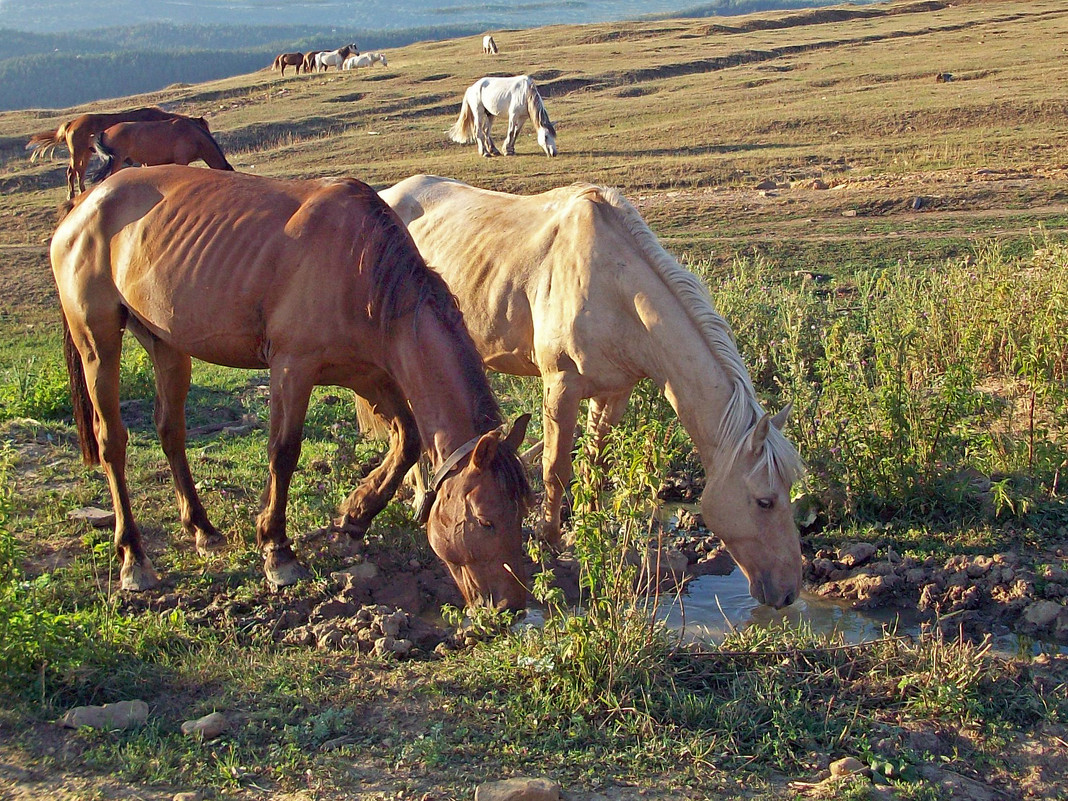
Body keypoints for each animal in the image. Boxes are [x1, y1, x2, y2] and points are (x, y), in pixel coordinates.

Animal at [26, 105, 208, 199]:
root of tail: (72, 123)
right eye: (202, 129)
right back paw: (72, 195)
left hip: (86, 153)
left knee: (79, 172)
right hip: (77, 152)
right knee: (72, 171)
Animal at [50, 167, 534, 606]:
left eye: (521, 514)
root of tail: (84, 203)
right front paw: (278, 551)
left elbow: (407, 441)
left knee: (171, 431)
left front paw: (354, 516)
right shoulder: (292, 368)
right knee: (112, 442)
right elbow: (283, 453)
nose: (508, 603)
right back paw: (134, 557)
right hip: (98, 341)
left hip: (166, 343)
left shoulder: (368, 374)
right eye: (485, 521)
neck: (362, 267)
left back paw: (202, 529)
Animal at [380, 175, 803, 610]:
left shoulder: (613, 394)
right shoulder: (560, 387)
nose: (788, 592)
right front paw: (549, 540)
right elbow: (555, 469)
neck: (615, 291)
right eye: (764, 501)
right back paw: (419, 497)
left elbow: (595, 468)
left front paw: (590, 528)